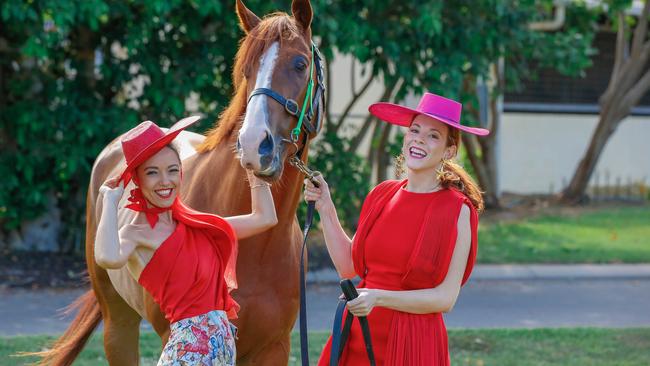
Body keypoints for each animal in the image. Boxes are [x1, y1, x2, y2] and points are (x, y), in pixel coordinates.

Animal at [38, 1, 324, 364]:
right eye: (246, 70)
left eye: (300, 63)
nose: (253, 145)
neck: (259, 247)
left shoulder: (274, 347)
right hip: (118, 323)